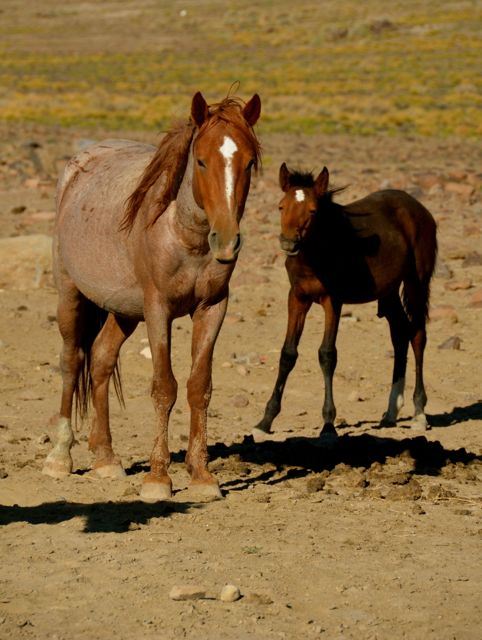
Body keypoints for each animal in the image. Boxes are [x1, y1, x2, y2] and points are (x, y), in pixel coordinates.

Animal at [42, 91, 261, 501]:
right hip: (70, 294)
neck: (183, 236)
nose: (226, 241)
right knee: (70, 361)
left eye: (249, 162)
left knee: (100, 360)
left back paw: (106, 458)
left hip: (123, 310)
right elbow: (164, 387)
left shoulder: (213, 308)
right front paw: (158, 478)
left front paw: (202, 476)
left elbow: (199, 387)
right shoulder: (158, 309)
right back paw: (60, 457)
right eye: (201, 160)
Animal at [254, 163, 437, 440]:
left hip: (416, 283)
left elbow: (327, 354)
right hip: (389, 291)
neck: (314, 257)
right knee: (399, 334)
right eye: (281, 206)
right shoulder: (297, 298)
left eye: (313, 210)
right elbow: (287, 354)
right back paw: (391, 412)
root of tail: (420, 210)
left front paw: (329, 424)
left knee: (417, 335)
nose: (288, 242)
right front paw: (265, 420)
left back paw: (419, 413)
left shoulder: (333, 300)